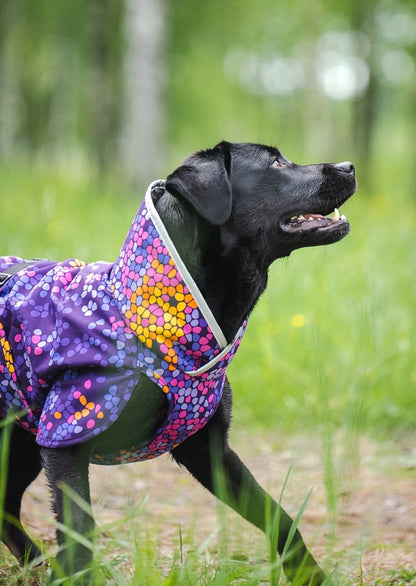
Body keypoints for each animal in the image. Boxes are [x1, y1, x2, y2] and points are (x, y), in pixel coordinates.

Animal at [0, 140, 356, 580]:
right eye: (274, 163)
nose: (349, 166)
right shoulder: (65, 440)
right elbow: (80, 533)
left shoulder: (208, 451)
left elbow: (281, 518)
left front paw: (311, 577)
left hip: (19, 444)